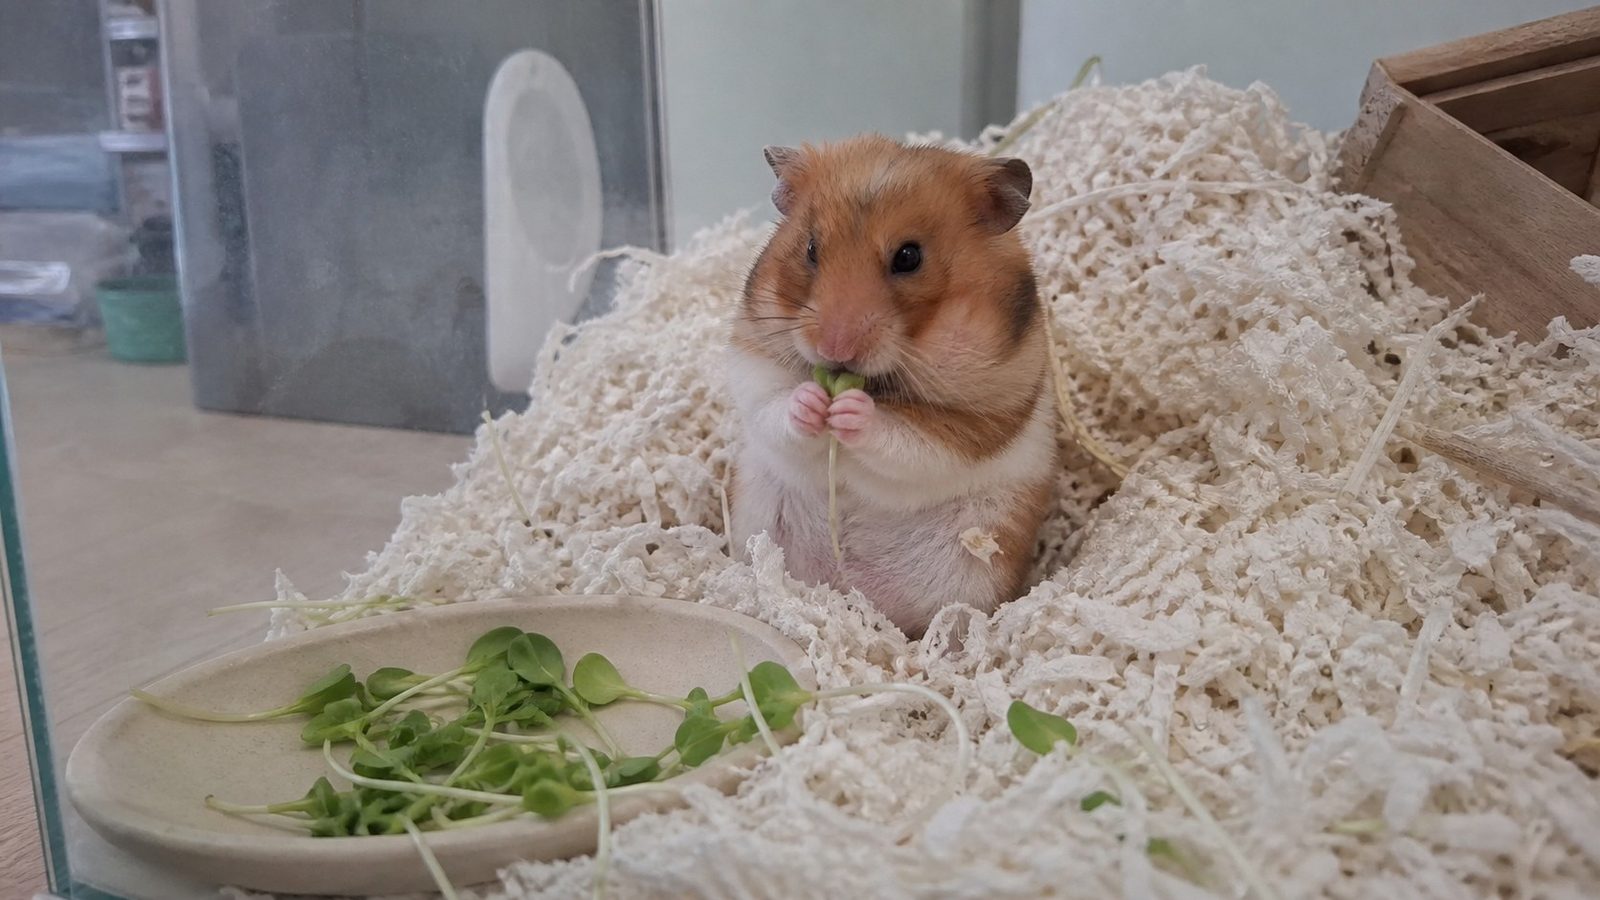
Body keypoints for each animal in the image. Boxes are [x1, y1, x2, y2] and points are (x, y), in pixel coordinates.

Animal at [726, 134, 1057, 637]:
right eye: (811, 249)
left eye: (909, 257)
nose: (834, 347)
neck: (879, 383)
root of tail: (852, 594)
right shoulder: (752, 363)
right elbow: (773, 407)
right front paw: (812, 402)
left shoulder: (977, 420)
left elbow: (905, 440)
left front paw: (851, 411)